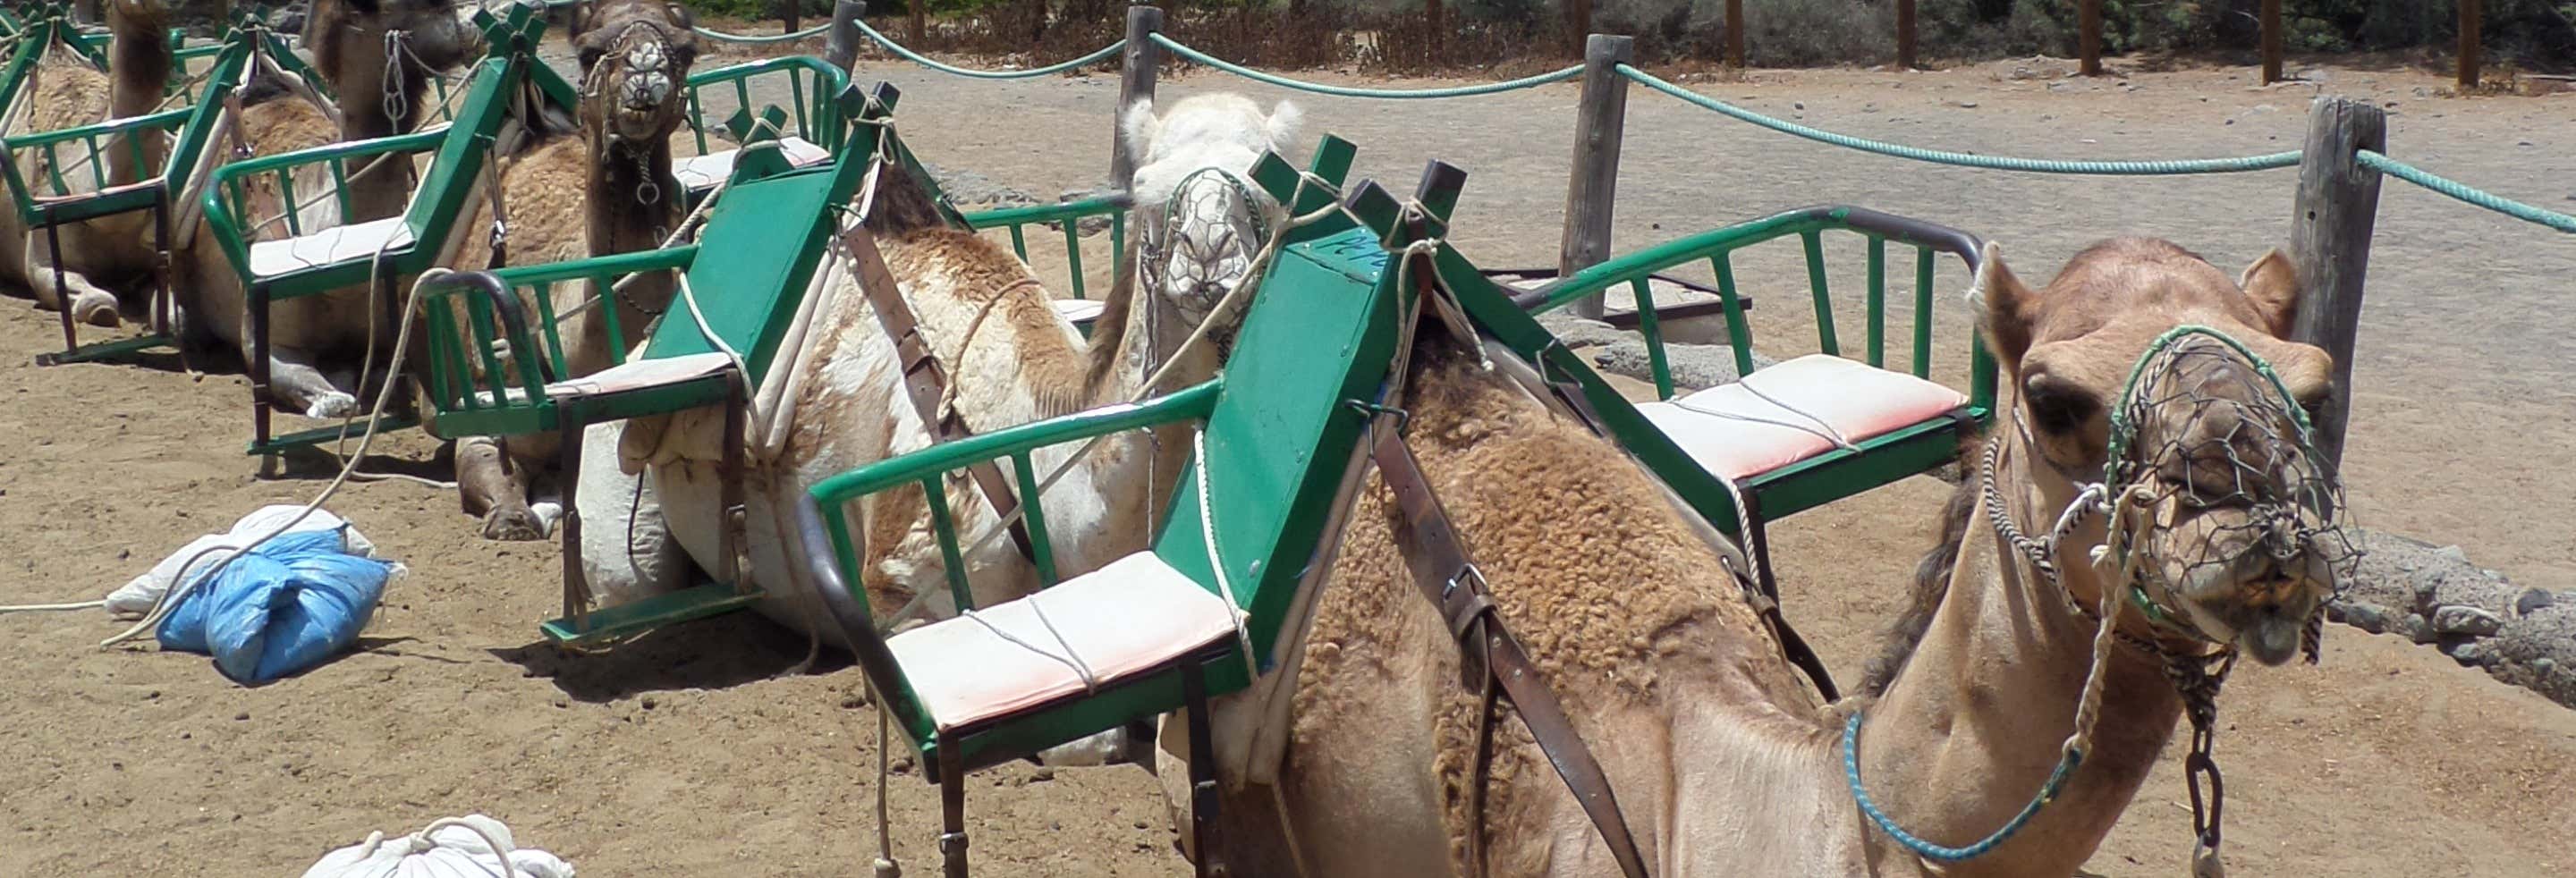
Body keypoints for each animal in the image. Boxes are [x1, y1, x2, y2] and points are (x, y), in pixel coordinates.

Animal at [437, 0, 706, 540]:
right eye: (588, 52)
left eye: (686, 50)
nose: (646, 67)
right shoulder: (486, 413)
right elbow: (494, 480)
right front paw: (514, 518)